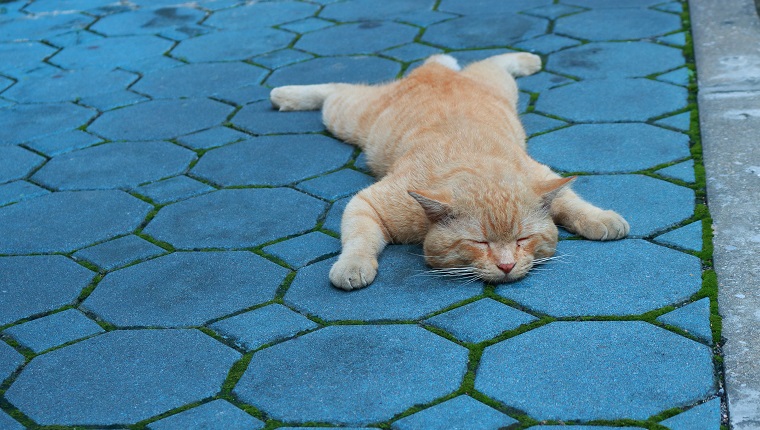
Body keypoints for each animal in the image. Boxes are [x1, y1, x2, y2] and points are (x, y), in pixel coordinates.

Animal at [270, 52, 628, 290]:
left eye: (523, 239)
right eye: (480, 243)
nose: (507, 265)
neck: (474, 161)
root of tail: (433, 71)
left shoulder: (539, 173)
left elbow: (569, 201)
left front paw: (598, 218)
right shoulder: (368, 202)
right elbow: (359, 239)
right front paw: (353, 265)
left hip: (498, 84)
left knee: (489, 62)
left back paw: (525, 60)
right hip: (348, 117)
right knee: (335, 87)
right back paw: (286, 94)